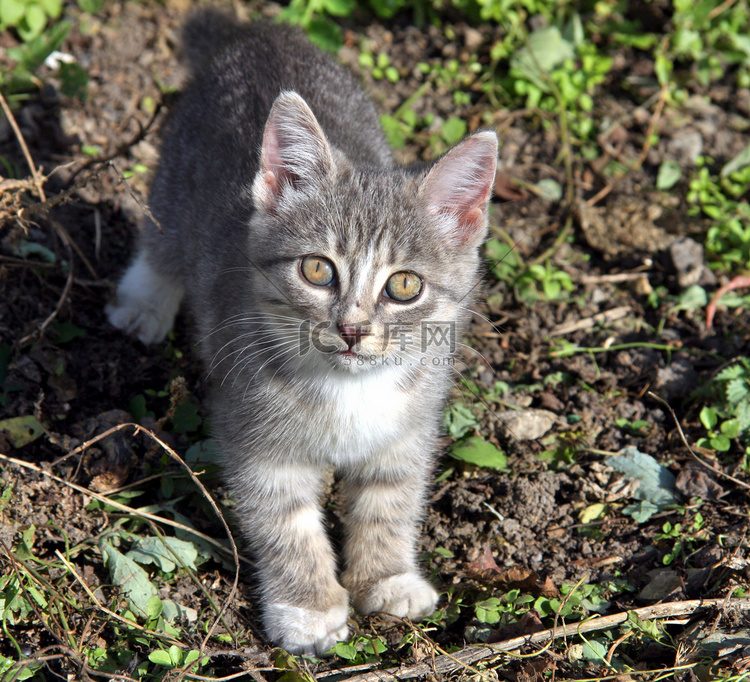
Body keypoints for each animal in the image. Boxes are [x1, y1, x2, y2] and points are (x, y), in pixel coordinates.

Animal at [104, 6, 494, 652]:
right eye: (317, 270)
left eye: (404, 286)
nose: (354, 330)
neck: (348, 390)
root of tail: (258, 34)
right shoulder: (257, 439)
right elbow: (285, 523)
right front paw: (308, 608)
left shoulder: (408, 427)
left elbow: (391, 500)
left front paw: (387, 577)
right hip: (176, 183)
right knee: (160, 240)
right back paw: (144, 302)